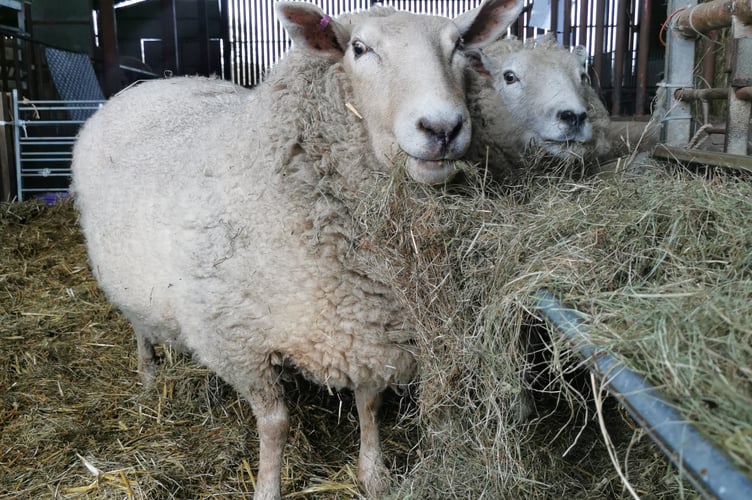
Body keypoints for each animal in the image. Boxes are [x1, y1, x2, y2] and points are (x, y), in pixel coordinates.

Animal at [70, 1, 524, 498]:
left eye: (458, 45)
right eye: (359, 48)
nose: (442, 127)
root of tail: (152, 83)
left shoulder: (366, 329)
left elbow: (368, 405)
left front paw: (374, 474)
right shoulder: (239, 341)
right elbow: (275, 425)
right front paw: (268, 487)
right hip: (122, 278)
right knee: (139, 326)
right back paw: (148, 374)